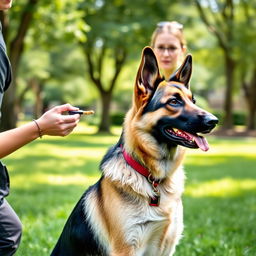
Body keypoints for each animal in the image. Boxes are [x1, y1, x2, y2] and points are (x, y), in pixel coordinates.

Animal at [50, 46, 218, 256]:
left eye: (193, 100)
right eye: (174, 101)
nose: (214, 121)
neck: (154, 179)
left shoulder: (167, 246)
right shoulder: (127, 248)